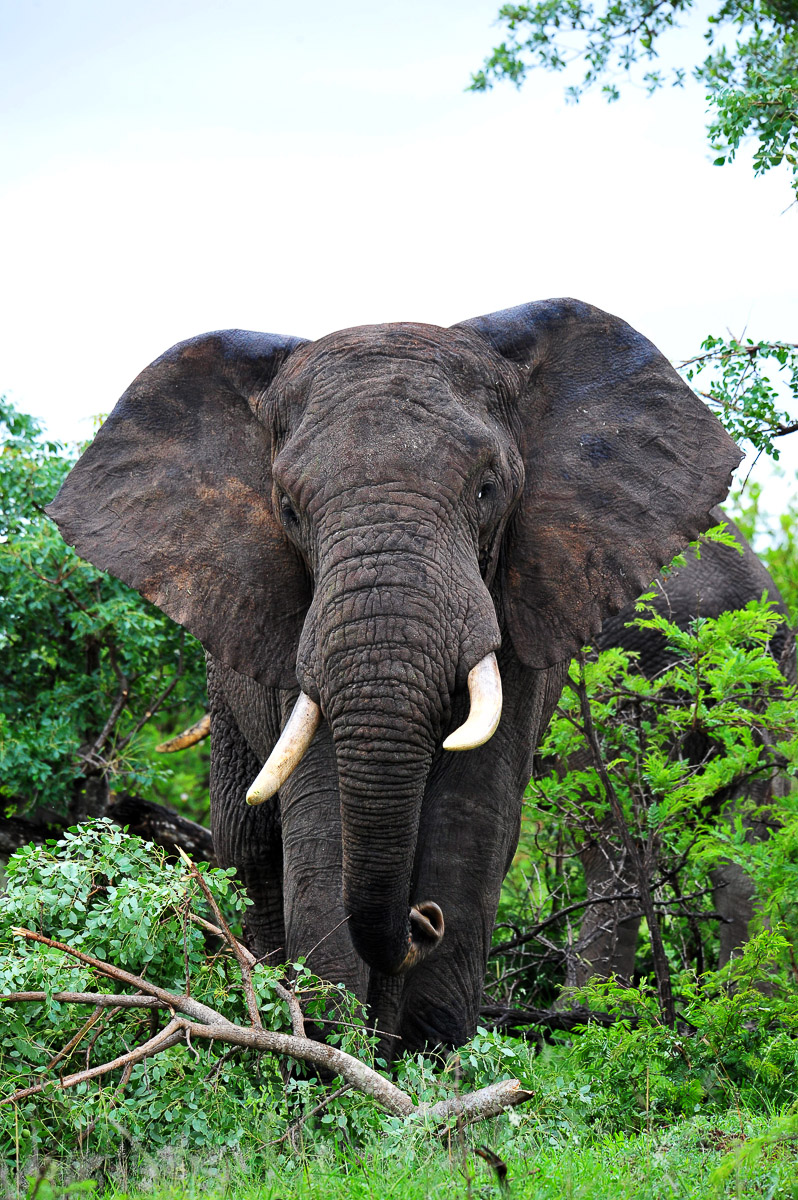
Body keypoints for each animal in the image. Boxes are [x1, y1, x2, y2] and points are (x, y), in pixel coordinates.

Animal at [46, 298, 741, 1051]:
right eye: (287, 508)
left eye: (488, 489)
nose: (420, 922)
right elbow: (323, 820)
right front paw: (330, 1050)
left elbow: (473, 816)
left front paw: (431, 1058)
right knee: (251, 849)